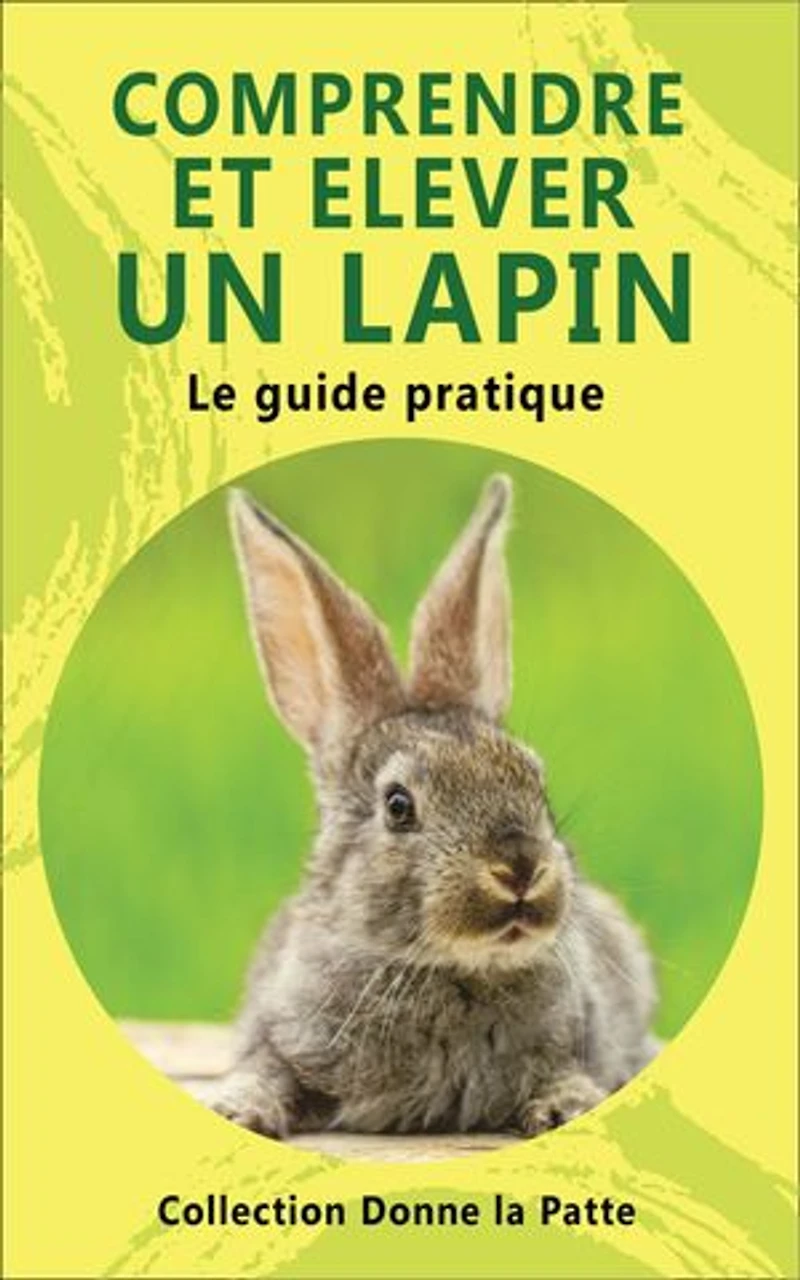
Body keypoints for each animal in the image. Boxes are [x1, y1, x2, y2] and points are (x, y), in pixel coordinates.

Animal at [211, 473, 660, 1139]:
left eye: (537, 782)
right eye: (399, 806)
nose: (520, 869)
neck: (448, 969)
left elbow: (566, 1072)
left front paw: (565, 1108)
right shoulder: (280, 1033)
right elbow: (266, 1069)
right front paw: (240, 1110)